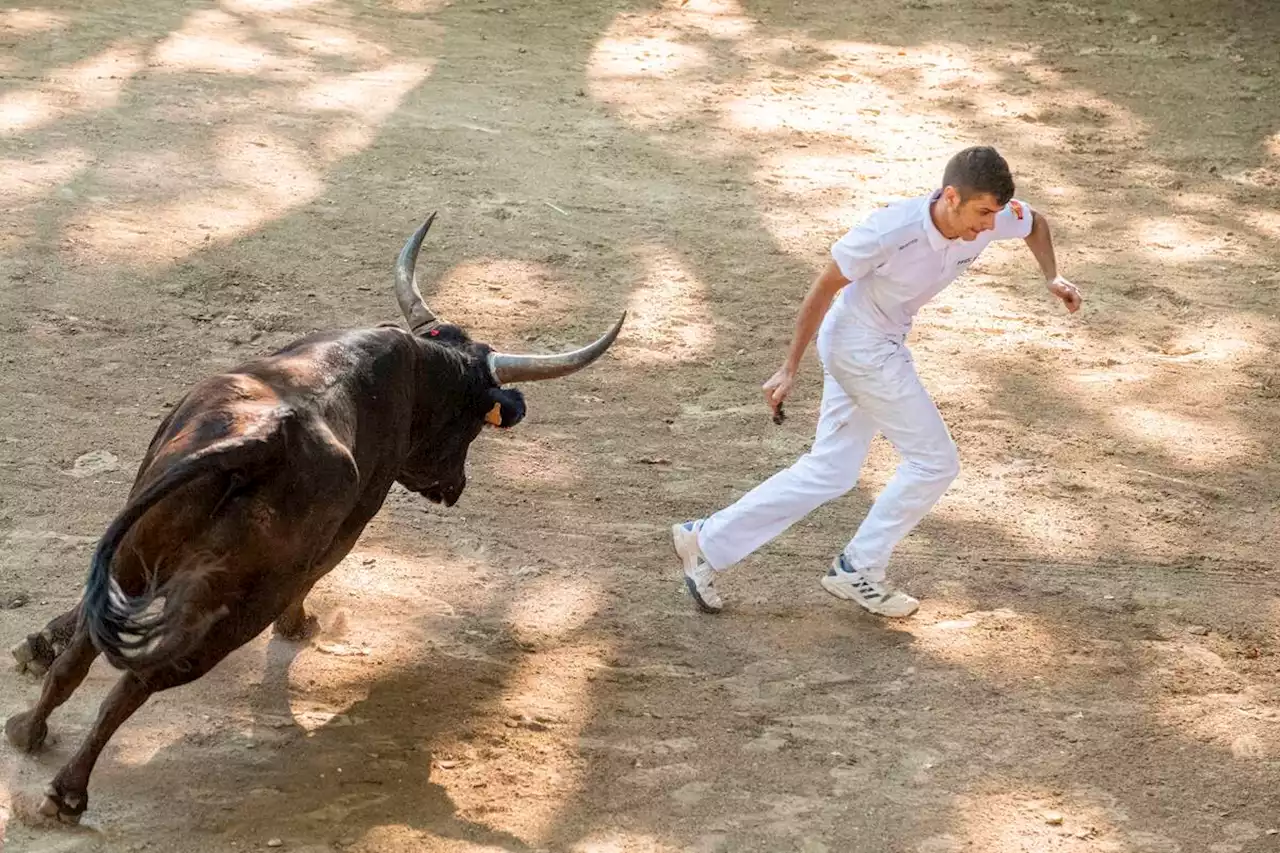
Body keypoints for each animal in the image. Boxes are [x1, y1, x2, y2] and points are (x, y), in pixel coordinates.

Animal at [5, 213, 624, 824]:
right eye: (471, 424)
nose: (455, 488)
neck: (414, 372)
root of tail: (264, 441)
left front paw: (38, 645)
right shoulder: (350, 526)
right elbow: (319, 574)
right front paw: (299, 625)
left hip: (138, 550)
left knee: (86, 651)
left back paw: (28, 730)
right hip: (238, 608)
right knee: (139, 680)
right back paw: (67, 792)